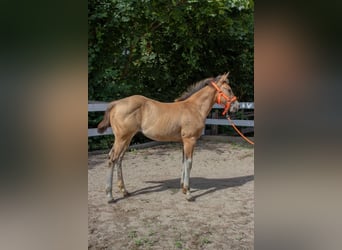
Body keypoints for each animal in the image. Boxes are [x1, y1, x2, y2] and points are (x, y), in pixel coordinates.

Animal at [97, 73, 239, 202]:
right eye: (229, 89)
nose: (237, 106)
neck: (194, 108)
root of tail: (116, 103)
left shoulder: (184, 141)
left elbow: (183, 162)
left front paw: (183, 188)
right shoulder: (190, 140)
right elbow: (189, 163)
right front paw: (188, 193)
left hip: (127, 138)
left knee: (119, 159)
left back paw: (124, 191)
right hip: (122, 138)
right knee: (112, 159)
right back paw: (110, 196)